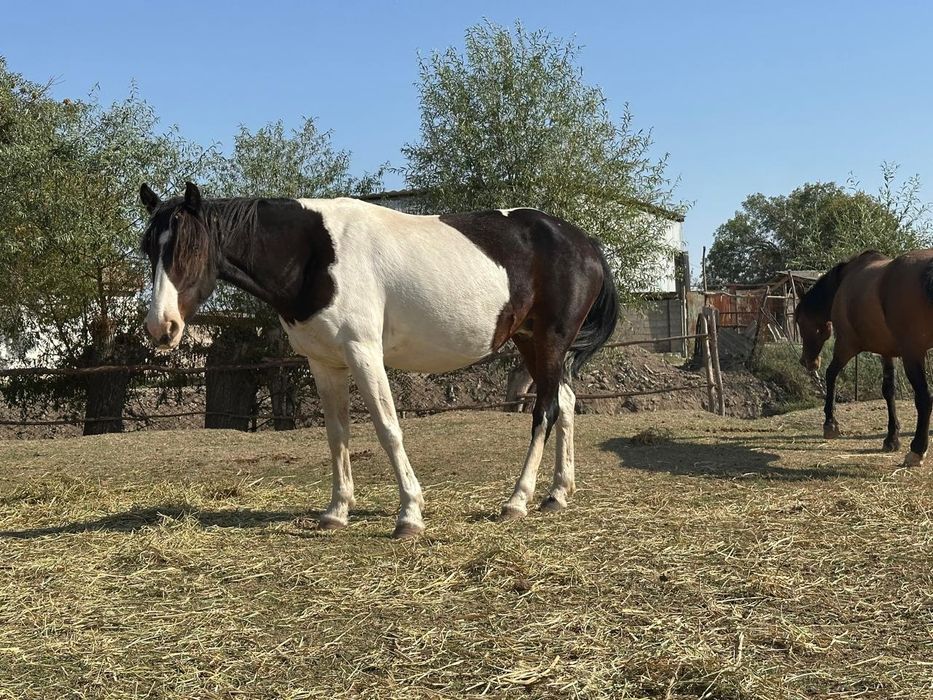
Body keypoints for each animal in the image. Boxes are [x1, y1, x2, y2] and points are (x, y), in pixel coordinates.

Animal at [139, 182, 618, 538]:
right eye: (149, 251)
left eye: (189, 249)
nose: (161, 328)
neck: (315, 254)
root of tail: (585, 243)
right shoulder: (324, 362)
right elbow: (337, 435)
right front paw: (336, 511)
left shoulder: (363, 352)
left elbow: (388, 429)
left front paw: (410, 515)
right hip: (531, 341)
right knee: (566, 403)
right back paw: (557, 494)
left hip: (550, 340)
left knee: (546, 410)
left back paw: (518, 500)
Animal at [795, 249, 933, 467]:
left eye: (800, 321)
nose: (807, 362)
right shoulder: (887, 352)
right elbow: (888, 391)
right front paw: (891, 438)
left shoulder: (846, 345)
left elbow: (831, 374)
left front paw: (830, 424)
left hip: (913, 354)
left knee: (924, 399)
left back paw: (917, 451)